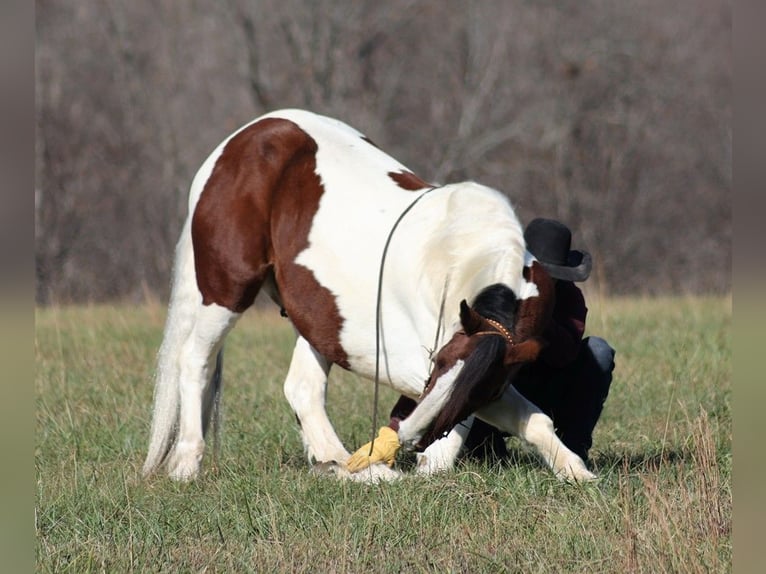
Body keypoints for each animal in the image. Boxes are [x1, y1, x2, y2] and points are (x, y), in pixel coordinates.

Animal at [144, 109, 600, 486]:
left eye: (479, 388)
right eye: (440, 363)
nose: (411, 438)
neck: (461, 257)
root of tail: (236, 143)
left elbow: (533, 420)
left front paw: (578, 473)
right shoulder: (419, 368)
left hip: (316, 317)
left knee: (303, 389)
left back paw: (345, 465)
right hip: (226, 292)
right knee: (194, 361)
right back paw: (187, 464)